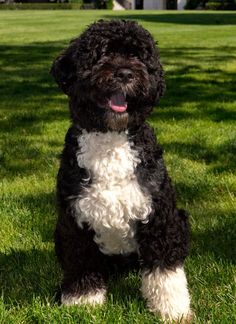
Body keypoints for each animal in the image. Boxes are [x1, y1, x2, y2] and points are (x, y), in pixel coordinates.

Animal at [51, 20, 192, 322]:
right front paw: (82, 301)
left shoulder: (159, 218)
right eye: (101, 54)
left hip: (181, 219)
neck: (111, 139)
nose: (125, 73)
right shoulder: (74, 222)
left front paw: (173, 308)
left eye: (138, 56)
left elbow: (165, 272)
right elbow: (81, 265)